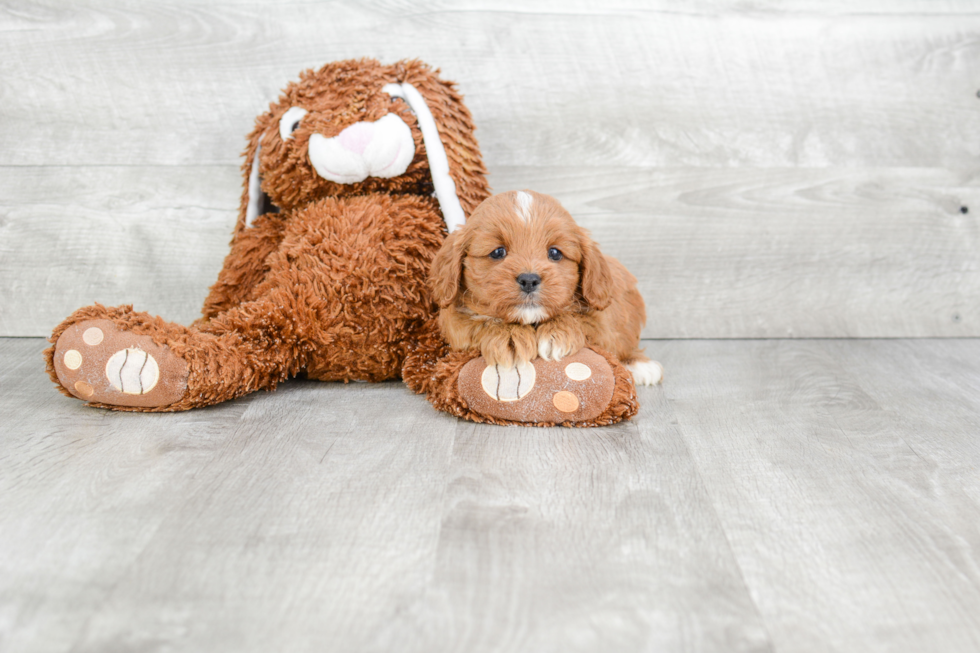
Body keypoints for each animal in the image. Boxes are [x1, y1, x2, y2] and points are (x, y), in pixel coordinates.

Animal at [432, 188, 664, 384]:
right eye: (498, 252)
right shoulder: (454, 324)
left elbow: (582, 319)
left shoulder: (603, 320)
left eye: (555, 253)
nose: (529, 280)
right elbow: (478, 321)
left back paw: (640, 365)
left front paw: (556, 333)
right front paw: (509, 337)